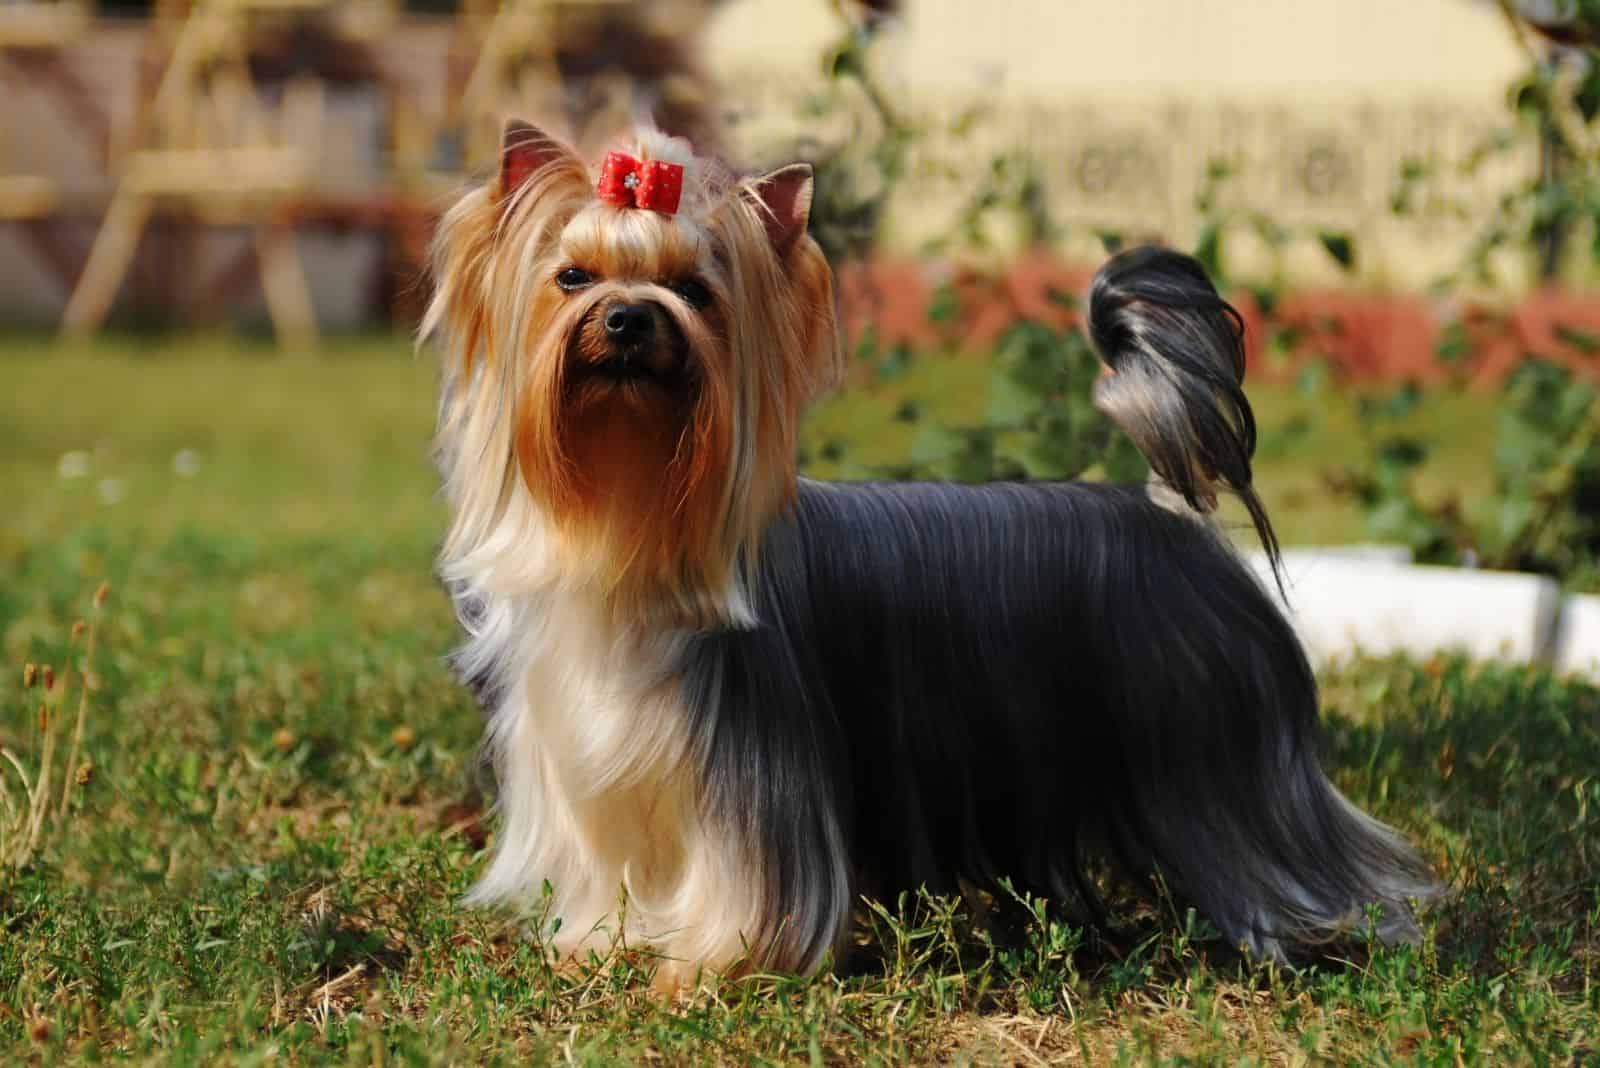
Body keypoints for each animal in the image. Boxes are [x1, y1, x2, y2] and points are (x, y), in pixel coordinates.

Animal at [419, 119, 1433, 984]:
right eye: (572, 278)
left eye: (697, 291)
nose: (630, 318)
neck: (631, 522)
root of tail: (1171, 512)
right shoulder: (601, 771)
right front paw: (598, 943)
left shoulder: (759, 774)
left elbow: (749, 890)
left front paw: (707, 968)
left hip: (1215, 755)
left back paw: (1339, 922)